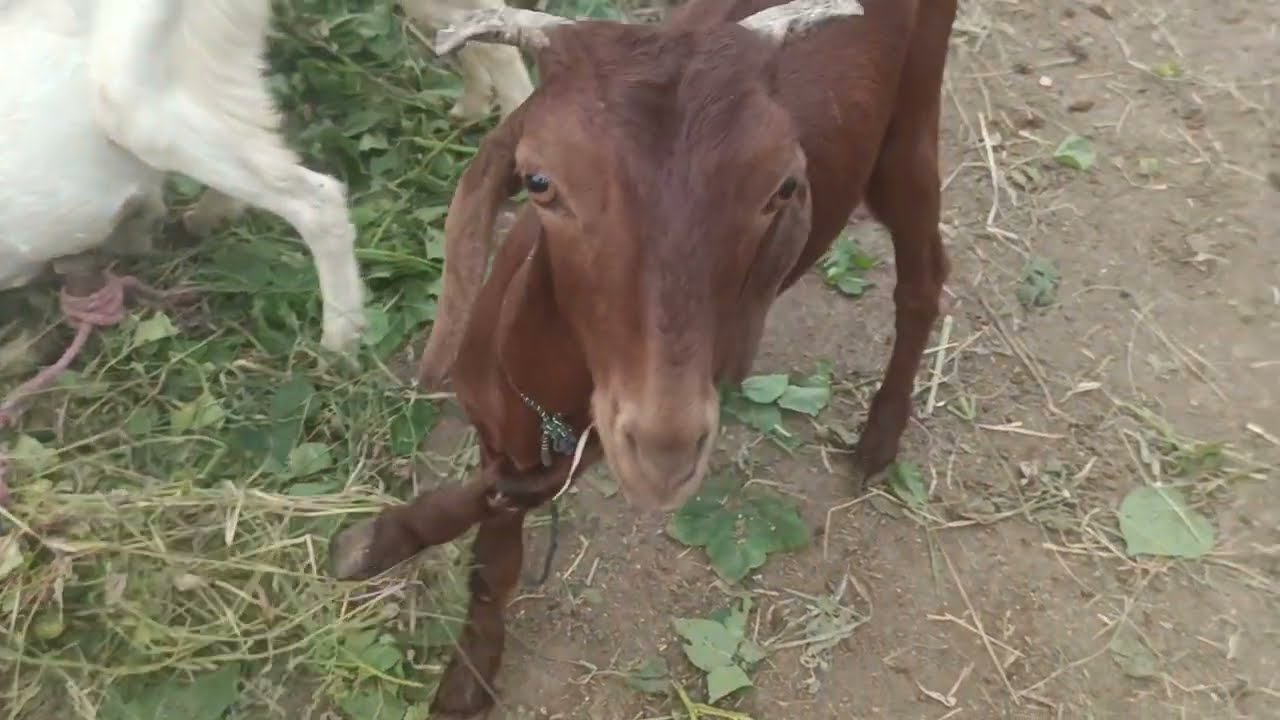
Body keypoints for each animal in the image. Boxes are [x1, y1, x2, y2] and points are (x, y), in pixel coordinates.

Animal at [328, 0, 956, 714]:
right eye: (539, 181)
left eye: (782, 188)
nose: (666, 450)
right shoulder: (497, 423)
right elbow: (495, 537)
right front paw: (431, 611)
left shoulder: (593, 440)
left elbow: (513, 507)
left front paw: (379, 549)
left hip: (912, 120)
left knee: (923, 278)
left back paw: (880, 437)